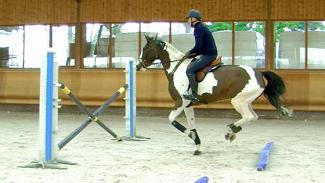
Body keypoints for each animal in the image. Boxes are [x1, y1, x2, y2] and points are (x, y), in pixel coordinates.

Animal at [137, 34, 292, 154]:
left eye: (146, 48)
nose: (139, 65)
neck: (177, 69)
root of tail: (259, 73)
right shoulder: (187, 105)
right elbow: (192, 124)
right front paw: (197, 145)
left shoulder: (181, 102)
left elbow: (172, 120)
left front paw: (192, 136)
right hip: (246, 101)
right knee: (253, 117)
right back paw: (232, 132)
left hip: (238, 101)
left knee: (248, 117)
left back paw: (230, 130)